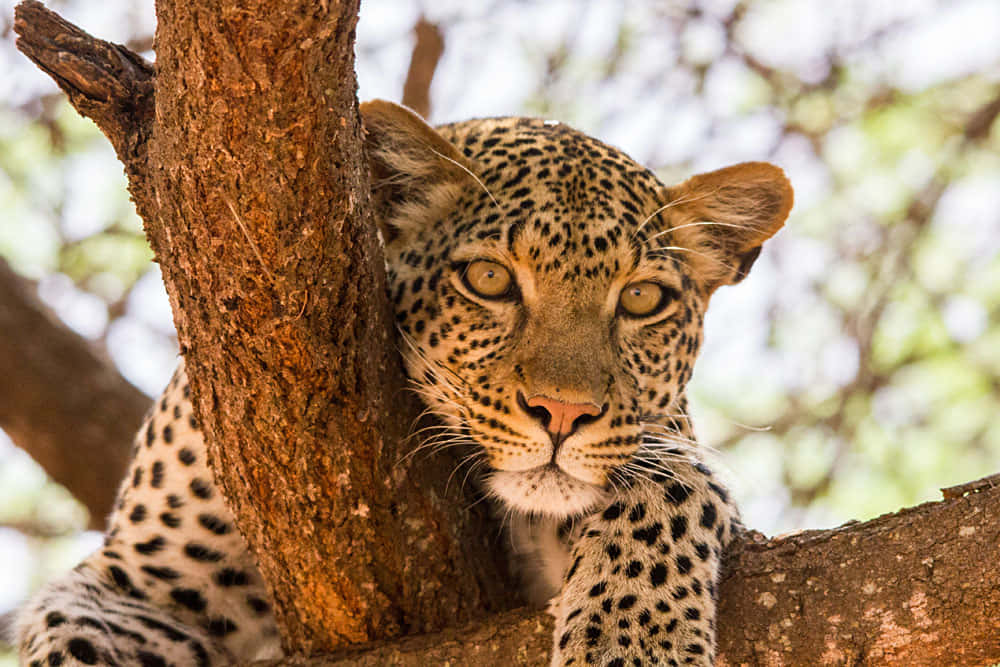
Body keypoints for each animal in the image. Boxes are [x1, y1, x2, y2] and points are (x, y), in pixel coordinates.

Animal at [16, 99, 792, 666]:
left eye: (641, 299)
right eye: (489, 279)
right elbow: (77, 637)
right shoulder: (138, 584)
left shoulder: (659, 448)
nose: (563, 413)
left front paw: (632, 642)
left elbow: (671, 480)